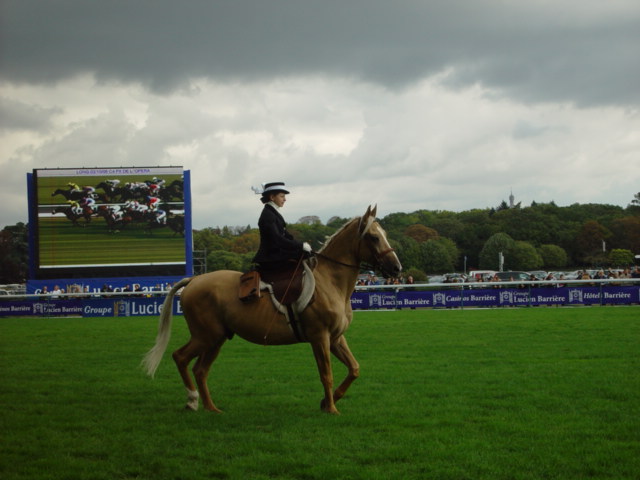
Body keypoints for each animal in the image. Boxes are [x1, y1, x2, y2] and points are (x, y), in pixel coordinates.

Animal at [142, 205, 400, 412]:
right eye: (374, 238)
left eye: (385, 235)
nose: (397, 268)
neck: (330, 281)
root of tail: (194, 280)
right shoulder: (320, 337)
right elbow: (326, 374)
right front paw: (331, 409)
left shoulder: (336, 338)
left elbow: (354, 369)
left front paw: (328, 401)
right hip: (206, 336)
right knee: (180, 357)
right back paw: (192, 400)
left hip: (216, 339)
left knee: (200, 370)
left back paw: (211, 407)